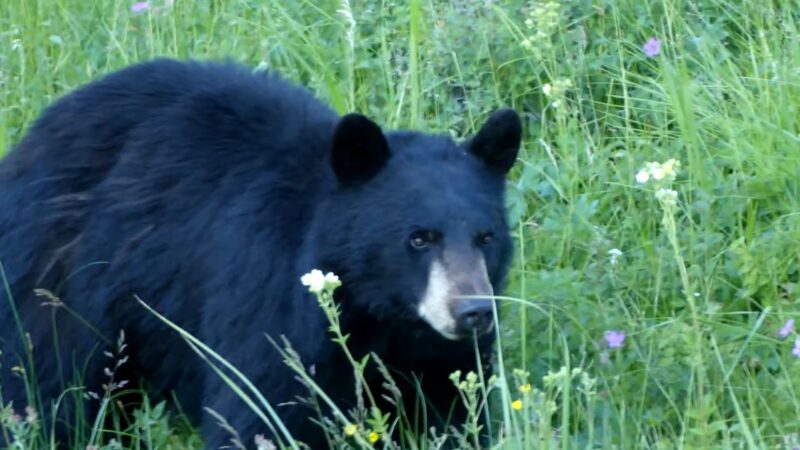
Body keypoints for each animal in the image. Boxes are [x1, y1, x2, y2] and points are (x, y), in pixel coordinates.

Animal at [0, 58, 520, 448]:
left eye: (486, 237)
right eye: (418, 238)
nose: (472, 311)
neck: (376, 317)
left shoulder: (435, 355)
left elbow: (452, 410)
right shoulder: (267, 299)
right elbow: (260, 408)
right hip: (60, 275)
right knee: (46, 378)